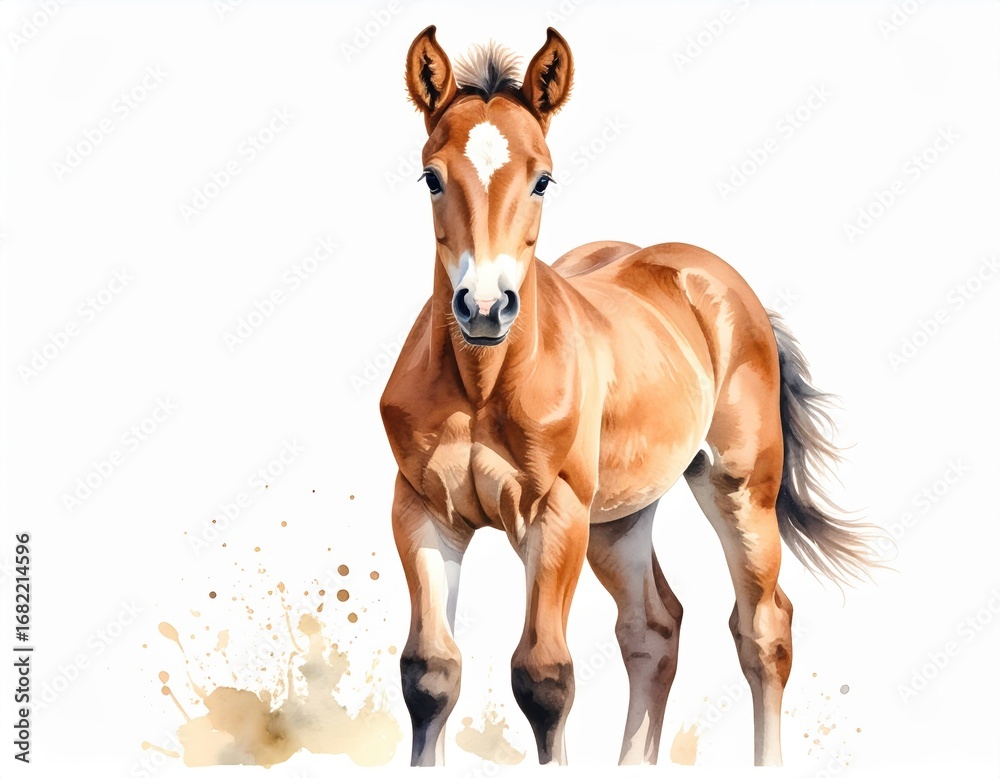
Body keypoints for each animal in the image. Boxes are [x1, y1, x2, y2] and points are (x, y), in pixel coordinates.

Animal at [380, 25, 878, 767]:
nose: (485, 308)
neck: (481, 385)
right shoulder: (422, 512)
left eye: (542, 178)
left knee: (764, 628)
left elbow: (543, 678)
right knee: (654, 628)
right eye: (432, 176)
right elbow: (430, 675)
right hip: (620, 519)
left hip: (737, 491)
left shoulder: (555, 516)